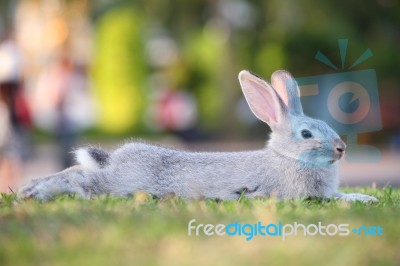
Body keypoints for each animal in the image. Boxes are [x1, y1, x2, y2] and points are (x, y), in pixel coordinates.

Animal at [18, 69, 378, 203]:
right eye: (306, 133)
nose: (341, 148)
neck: (287, 158)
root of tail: (116, 159)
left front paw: (366, 198)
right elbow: (336, 199)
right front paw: (363, 200)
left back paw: (30, 187)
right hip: (120, 183)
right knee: (80, 182)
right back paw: (37, 193)